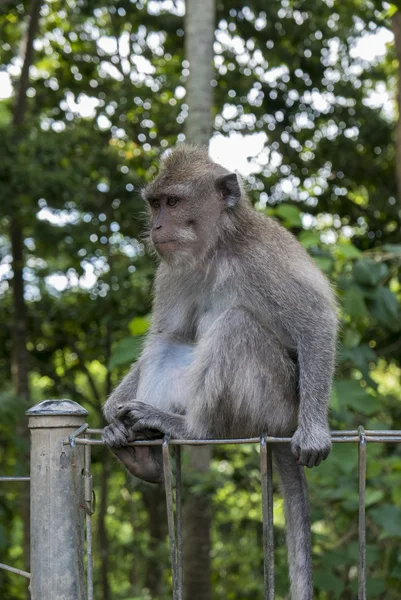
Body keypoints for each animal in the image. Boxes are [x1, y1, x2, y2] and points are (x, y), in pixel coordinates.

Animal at [101, 145, 336, 600]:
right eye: (154, 204)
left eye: (173, 202)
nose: (156, 226)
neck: (216, 249)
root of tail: (283, 425)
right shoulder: (171, 271)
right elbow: (166, 332)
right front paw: (110, 410)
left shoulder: (263, 258)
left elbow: (315, 321)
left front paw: (315, 432)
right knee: (170, 342)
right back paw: (145, 457)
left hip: (275, 404)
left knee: (236, 325)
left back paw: (194, 429)